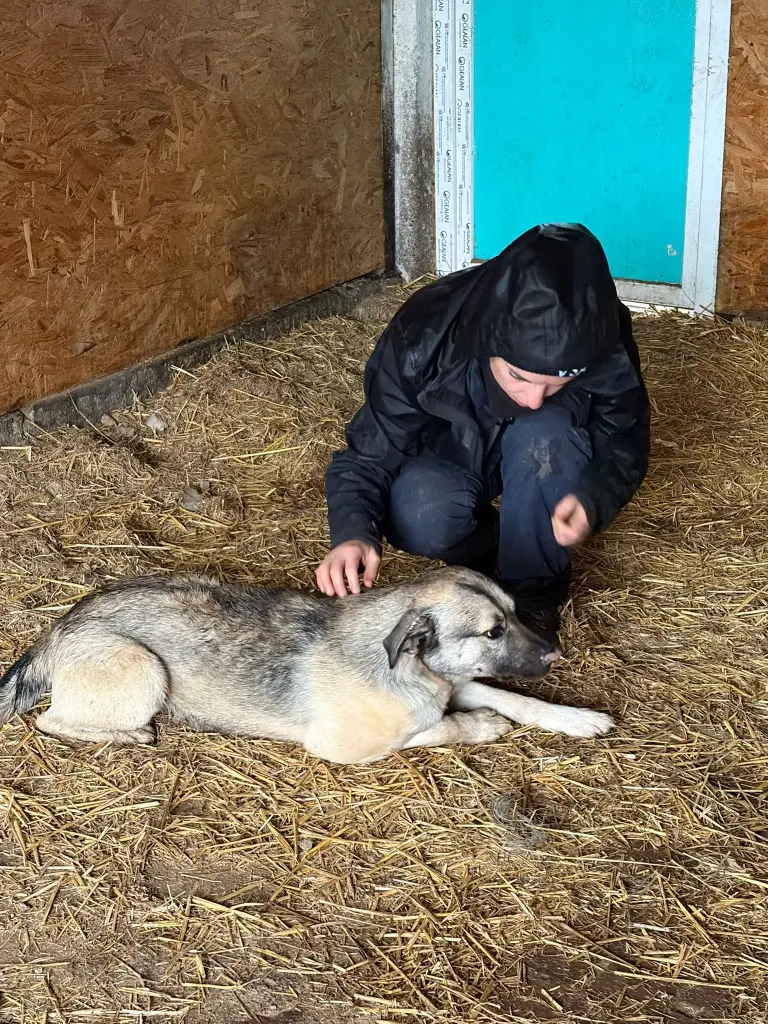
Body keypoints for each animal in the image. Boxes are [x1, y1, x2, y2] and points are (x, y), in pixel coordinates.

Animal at [0, 567, 614, 763]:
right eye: (492, 631)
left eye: (514, 614)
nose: (555, 652)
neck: (413, 671)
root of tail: (57, 629)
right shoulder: (344, 747)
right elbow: (435, 730)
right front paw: (481, 727)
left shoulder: (455, 682)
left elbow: (515, 696)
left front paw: (578, 718)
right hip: (144, 670)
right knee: (52, 721)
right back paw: (130, 735)